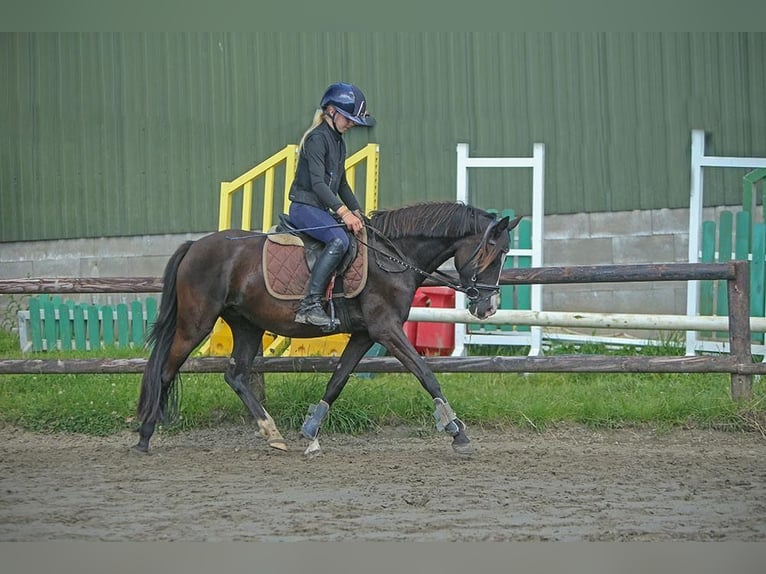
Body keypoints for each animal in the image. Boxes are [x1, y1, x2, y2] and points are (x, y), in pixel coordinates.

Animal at [138, 205, 520, 456]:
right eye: (494, 251)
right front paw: (457, 431)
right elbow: (426, 374)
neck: (392, 256)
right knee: (165, 370)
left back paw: (272, 432)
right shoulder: (386, 329)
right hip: (196, 324)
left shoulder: (366, 334)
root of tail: (194, 246)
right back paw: (144, 436)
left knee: (235, 375)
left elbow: (336, 381)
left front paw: (310, 432)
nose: (488, 307)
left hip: (247, 325)